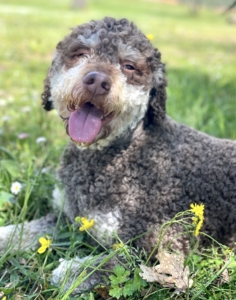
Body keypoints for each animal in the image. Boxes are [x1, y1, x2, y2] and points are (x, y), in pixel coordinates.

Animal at [0, 17, 236, 296]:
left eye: (129, 66)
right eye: (80, 53)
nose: (97, 81)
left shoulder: (165, 242)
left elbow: (115, 260)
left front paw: (74, 271)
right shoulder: (67, 217)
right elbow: (27, 229)